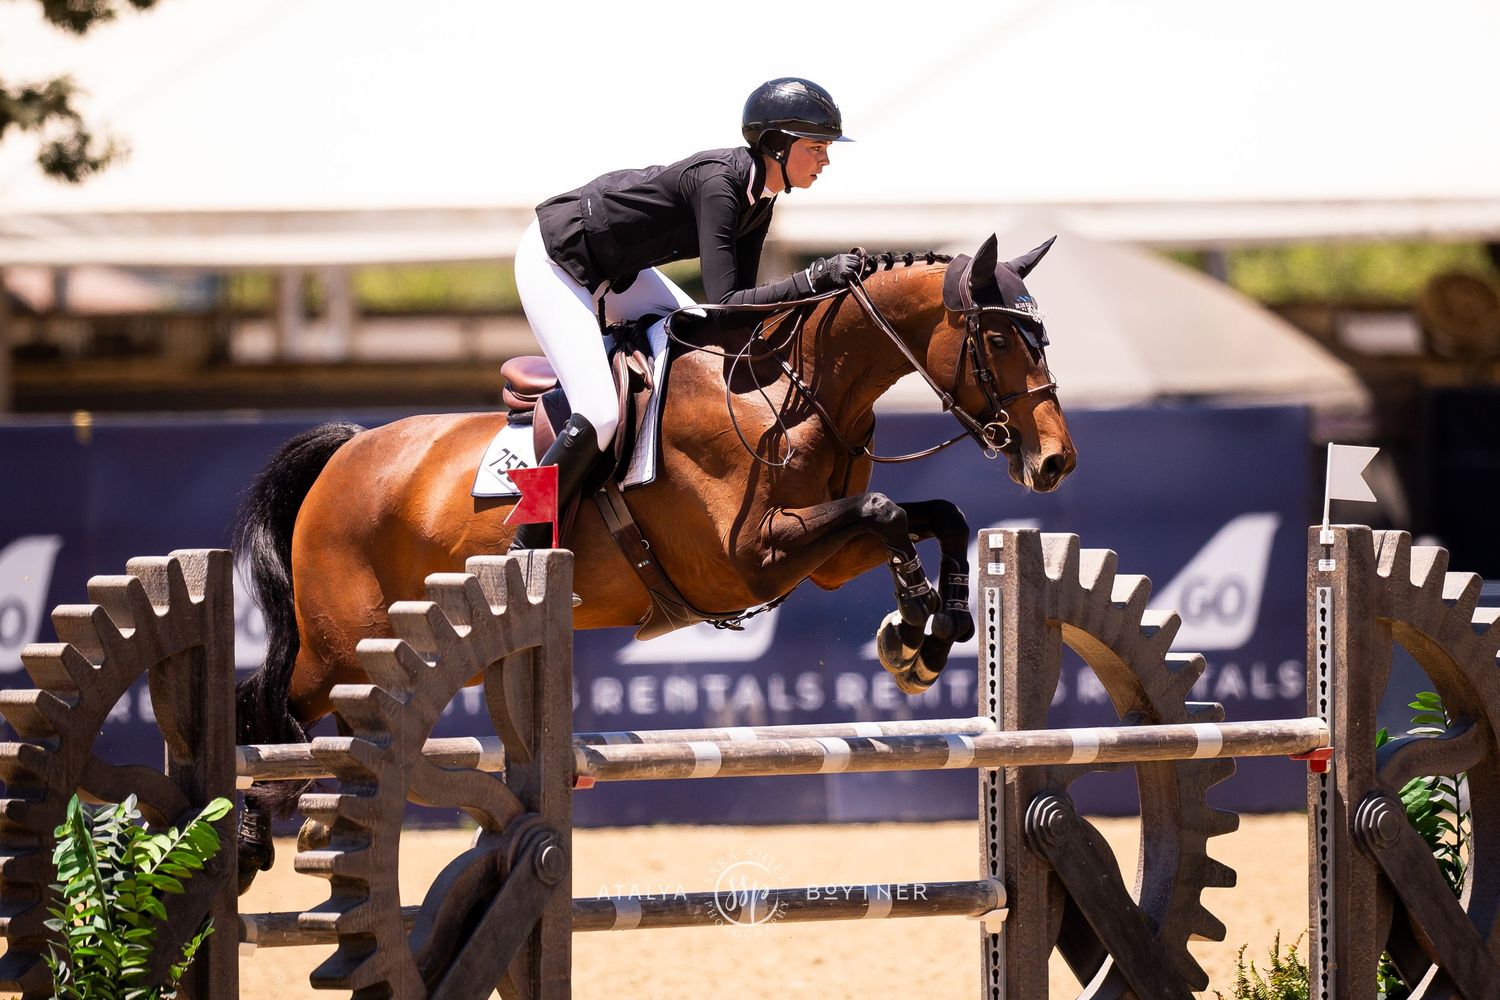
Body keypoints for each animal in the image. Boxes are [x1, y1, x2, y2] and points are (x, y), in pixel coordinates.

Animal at [232, 233, 1076, 887]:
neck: (789, 392)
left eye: (1043, 337)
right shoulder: (750, 557)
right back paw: (244, 847)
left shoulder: (820, 557)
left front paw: (933, 634)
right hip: (343, 647)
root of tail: (346, 451)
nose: (1055, 463)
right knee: (260, 709)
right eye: (999, 340)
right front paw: (913, 625)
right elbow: (889, 513)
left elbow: (937, 516)